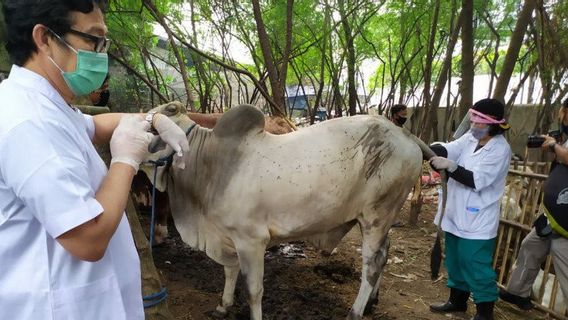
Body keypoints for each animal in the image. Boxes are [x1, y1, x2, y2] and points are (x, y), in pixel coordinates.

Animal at [142, 101, 434, 318]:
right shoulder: (228, 237)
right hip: (379, 219)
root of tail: (406, 134)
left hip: (377, 215)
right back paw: (372, 302)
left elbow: (254, 290)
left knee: (371, 264)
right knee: (385, 253)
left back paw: (355, 311)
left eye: (154, 128)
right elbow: (229, 271)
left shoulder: (252, 241)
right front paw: (223, 306)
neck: (212, 162)